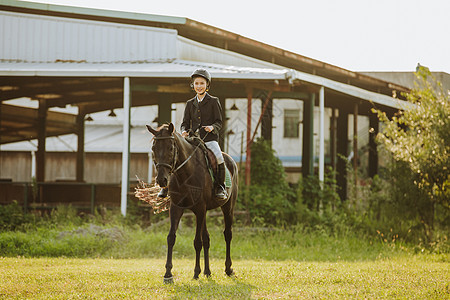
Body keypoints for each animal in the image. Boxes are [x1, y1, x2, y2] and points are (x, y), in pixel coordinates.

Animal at [147, 123, 239, 282]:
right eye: (154, 148)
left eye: (170, 148)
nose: (161, 180)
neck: (185, 173)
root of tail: (230, 160)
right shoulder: (177, 207)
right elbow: (171, 238)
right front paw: (168, 274)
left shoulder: (200, 209)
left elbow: (197, 242)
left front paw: (196, 272)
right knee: (207, 238)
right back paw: (207, 271)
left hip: (228, 207)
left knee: (227, 234)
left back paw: (228, 269)